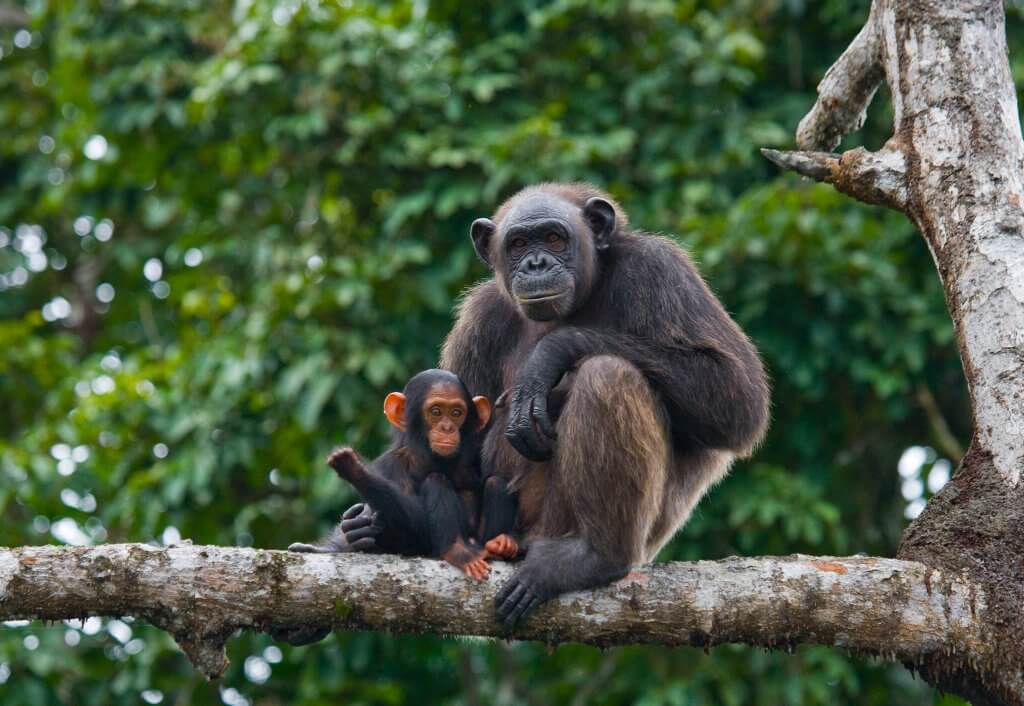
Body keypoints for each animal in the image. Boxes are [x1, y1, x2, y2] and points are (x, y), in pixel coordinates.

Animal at [288, 369, 521, 578]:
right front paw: (356, 470)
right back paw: (459, 551)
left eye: (456, 412)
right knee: (435, 481)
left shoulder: (480, 452)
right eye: (436, 411)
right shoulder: (390, 466)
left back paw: (502, 545)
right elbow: (414, 526)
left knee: (496, 482)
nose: (447, 428)